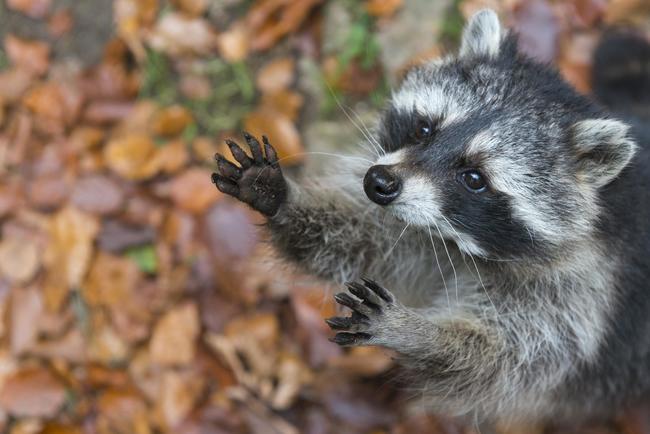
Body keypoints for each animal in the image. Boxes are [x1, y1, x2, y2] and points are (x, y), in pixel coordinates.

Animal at [211, 9, 648, 424]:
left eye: (474, 178)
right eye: (424, 129)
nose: (378, 182)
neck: (459, 244)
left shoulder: (581, 296)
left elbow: (501, 361)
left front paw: (419, 333)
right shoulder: (419, 232)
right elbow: (361, 241)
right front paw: (282, 199)